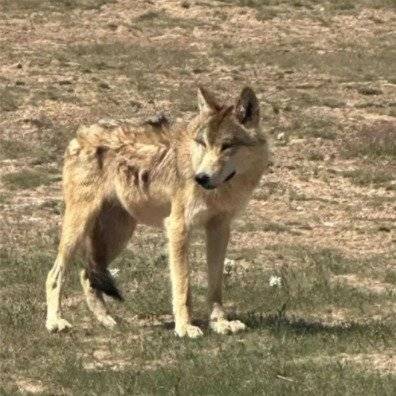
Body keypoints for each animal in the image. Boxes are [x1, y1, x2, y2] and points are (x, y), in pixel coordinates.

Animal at [45, 86, 270, 338]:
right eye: (202, 143)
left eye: (227, 146)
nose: (200, 178)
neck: (222, 190)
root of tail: (80, 133)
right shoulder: (178, 227)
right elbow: (183, 286)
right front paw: (185, 327)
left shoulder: (220, 228)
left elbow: (215, 285)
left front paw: (220, 322)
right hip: (79, 227)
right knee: (54, 274)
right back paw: (55, 321)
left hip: (118, 236)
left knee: (86, 275)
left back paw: (107, 320)